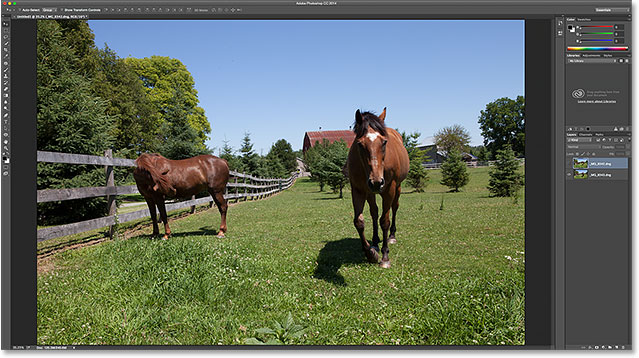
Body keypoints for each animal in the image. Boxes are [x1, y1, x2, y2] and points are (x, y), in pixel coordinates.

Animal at [348, 107, 408, 268]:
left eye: (384, 142)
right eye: (359, 144)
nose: (376, 182)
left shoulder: (389, 190)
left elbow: (385, 221)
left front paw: (385, 256)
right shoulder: (358, 190)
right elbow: (359, 222)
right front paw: (370, 253)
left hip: (397, 188)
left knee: (394, 208)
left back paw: (392, 236)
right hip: (370, 192)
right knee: (374, 213)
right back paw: (374, 243)